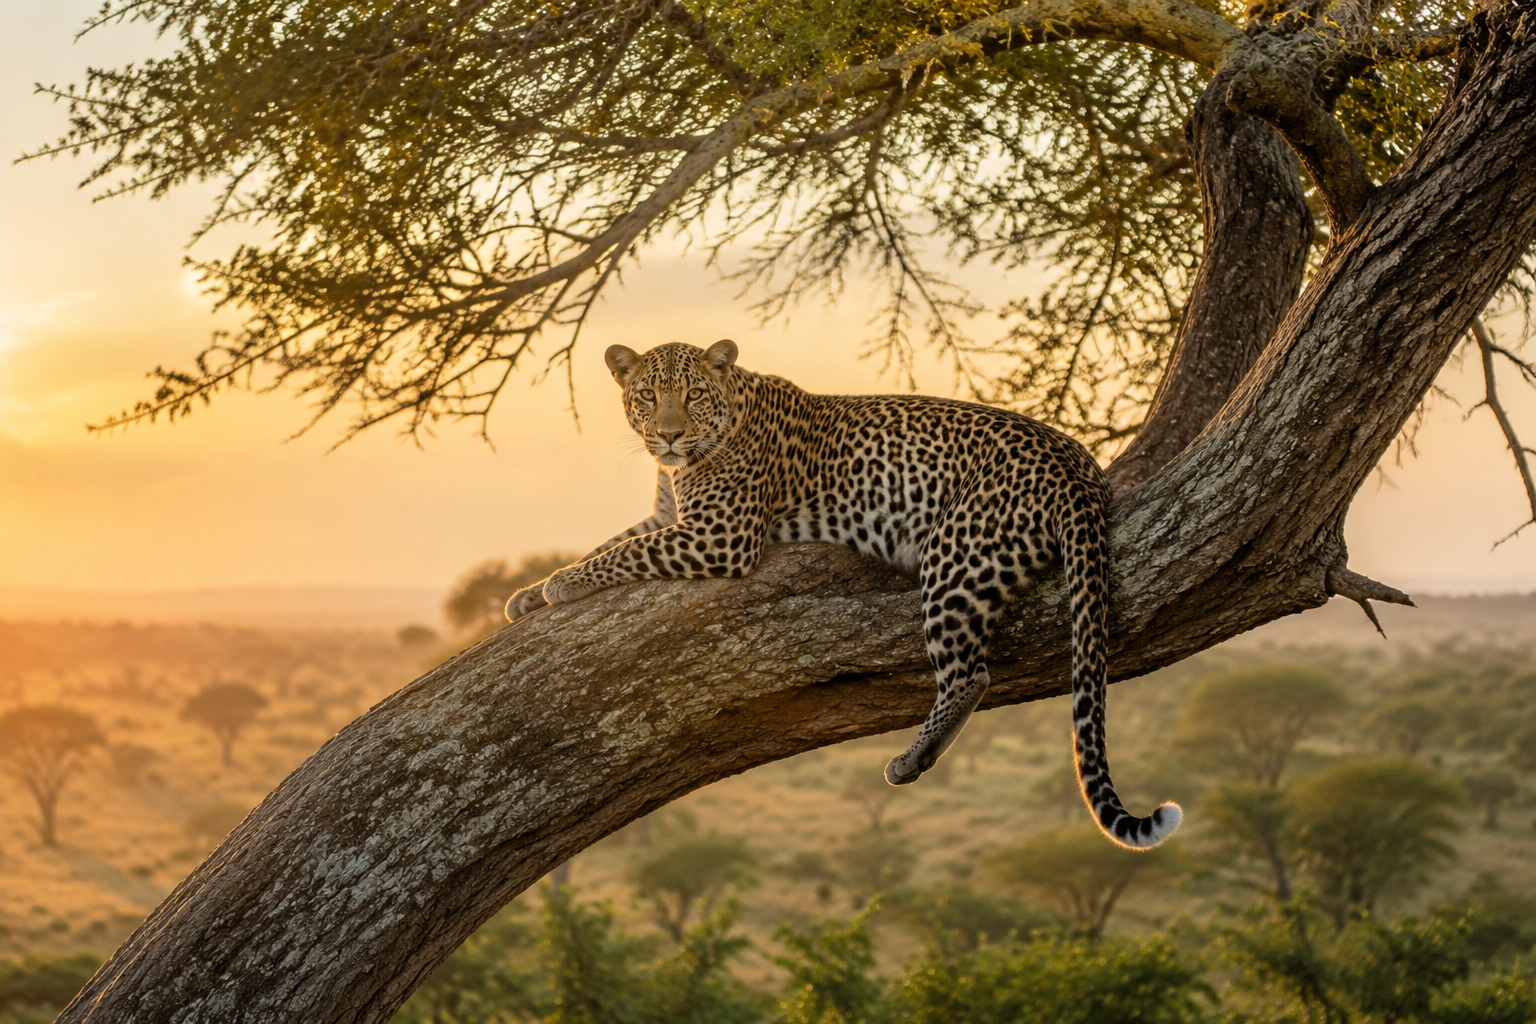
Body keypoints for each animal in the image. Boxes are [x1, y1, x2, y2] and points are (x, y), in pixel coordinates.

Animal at [506, 339, 1181, 849]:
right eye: (647, 395)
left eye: (693, 395)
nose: (669, 436)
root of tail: (1078, 468)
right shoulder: (670, 518)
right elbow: (606, 543)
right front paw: (527, 594)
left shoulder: (718, 536)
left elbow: (621, 554)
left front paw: (559, 586)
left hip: (953, 558)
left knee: (970, 674)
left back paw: (911, 760)